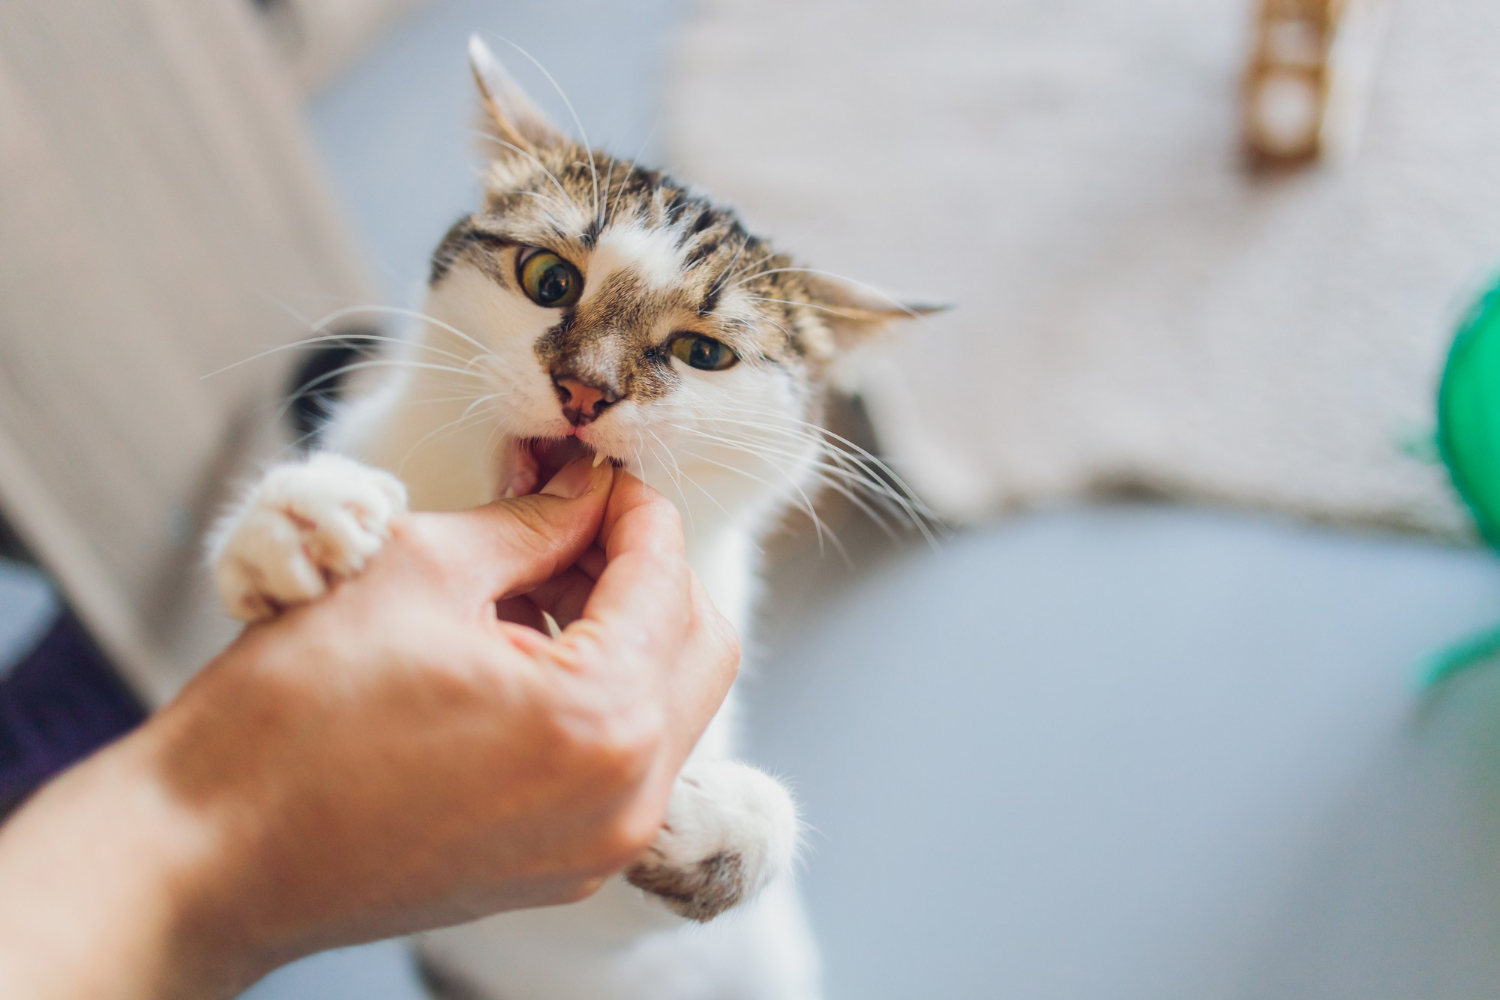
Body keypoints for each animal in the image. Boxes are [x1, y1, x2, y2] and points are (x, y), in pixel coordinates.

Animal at [210, 35, 930, 1000]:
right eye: (548, 279)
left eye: (703, 352)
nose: (586, 390)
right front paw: (298, 514)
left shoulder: (558, 919)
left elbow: (605, 910)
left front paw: (730, 818)